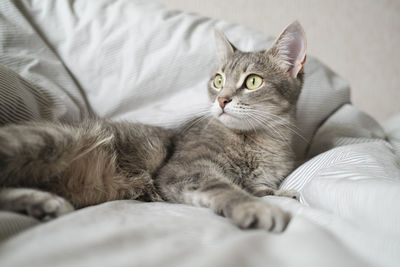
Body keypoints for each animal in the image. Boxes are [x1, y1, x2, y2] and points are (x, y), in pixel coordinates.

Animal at [0, 21, 306, 233]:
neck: (259, 140)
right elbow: (225, 187)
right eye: (218, 80)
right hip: (50, 140)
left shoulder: (258, 180)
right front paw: (254, 207)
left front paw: (283, 193)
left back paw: (41, 203)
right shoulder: (183, 170)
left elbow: (261, 188)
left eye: (253, 81)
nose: (222, 99)